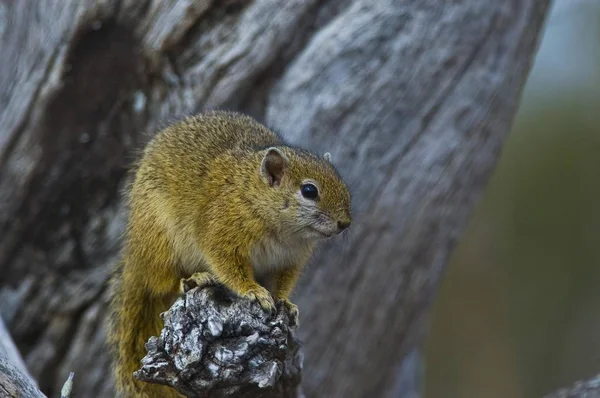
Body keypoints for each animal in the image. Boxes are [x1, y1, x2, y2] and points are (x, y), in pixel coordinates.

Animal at [106, 110, 352, 396]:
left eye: (342, 182)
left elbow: (282, 283)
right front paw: (253, 292)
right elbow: (230, 269)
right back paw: (193, 279)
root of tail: (133, 259)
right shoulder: (220, 236)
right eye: (309, 191)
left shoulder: (288, 261)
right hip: (160, 244)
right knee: (161, 282)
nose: (345, 223)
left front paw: (286, 303)